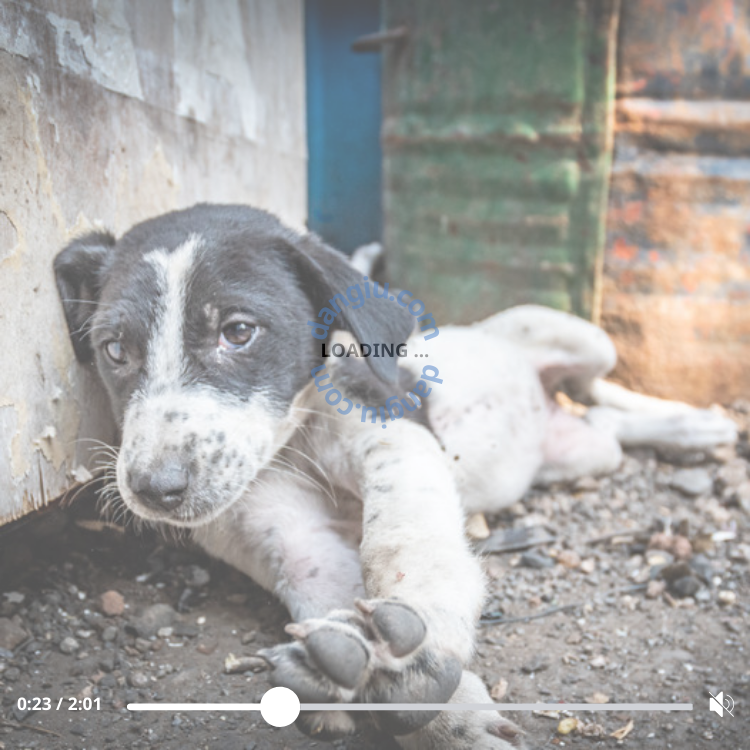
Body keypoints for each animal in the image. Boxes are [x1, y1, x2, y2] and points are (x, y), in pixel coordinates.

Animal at [54, 206, 740, 750]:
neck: (292, 441)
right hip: (583, 452)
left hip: (574, 332)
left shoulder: (393, 433)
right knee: (602, 420)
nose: (153, 490)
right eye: (115, 350)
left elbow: (407, 538)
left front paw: (421, 639)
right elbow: (327, 593)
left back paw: (699, 423)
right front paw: (389, 684)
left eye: (239, 331)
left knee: (601, 386)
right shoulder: (284, 535)